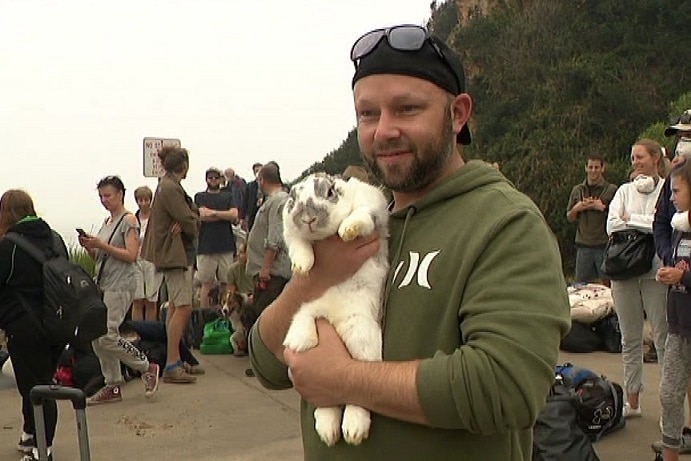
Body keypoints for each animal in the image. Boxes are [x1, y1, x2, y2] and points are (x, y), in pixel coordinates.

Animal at [282, 172, 390, 446]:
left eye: (330, 192)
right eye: (292, 200)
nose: (308, 219)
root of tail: (333, 319)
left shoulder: (372, 203)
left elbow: (360, 216)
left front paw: (346, 231)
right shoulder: (290, 232)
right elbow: (299, 245)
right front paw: (302, 267)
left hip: (362, 337)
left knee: (357, 393)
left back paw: (353, 430)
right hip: (308, 326)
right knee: (325, 399)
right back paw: (328, 431)